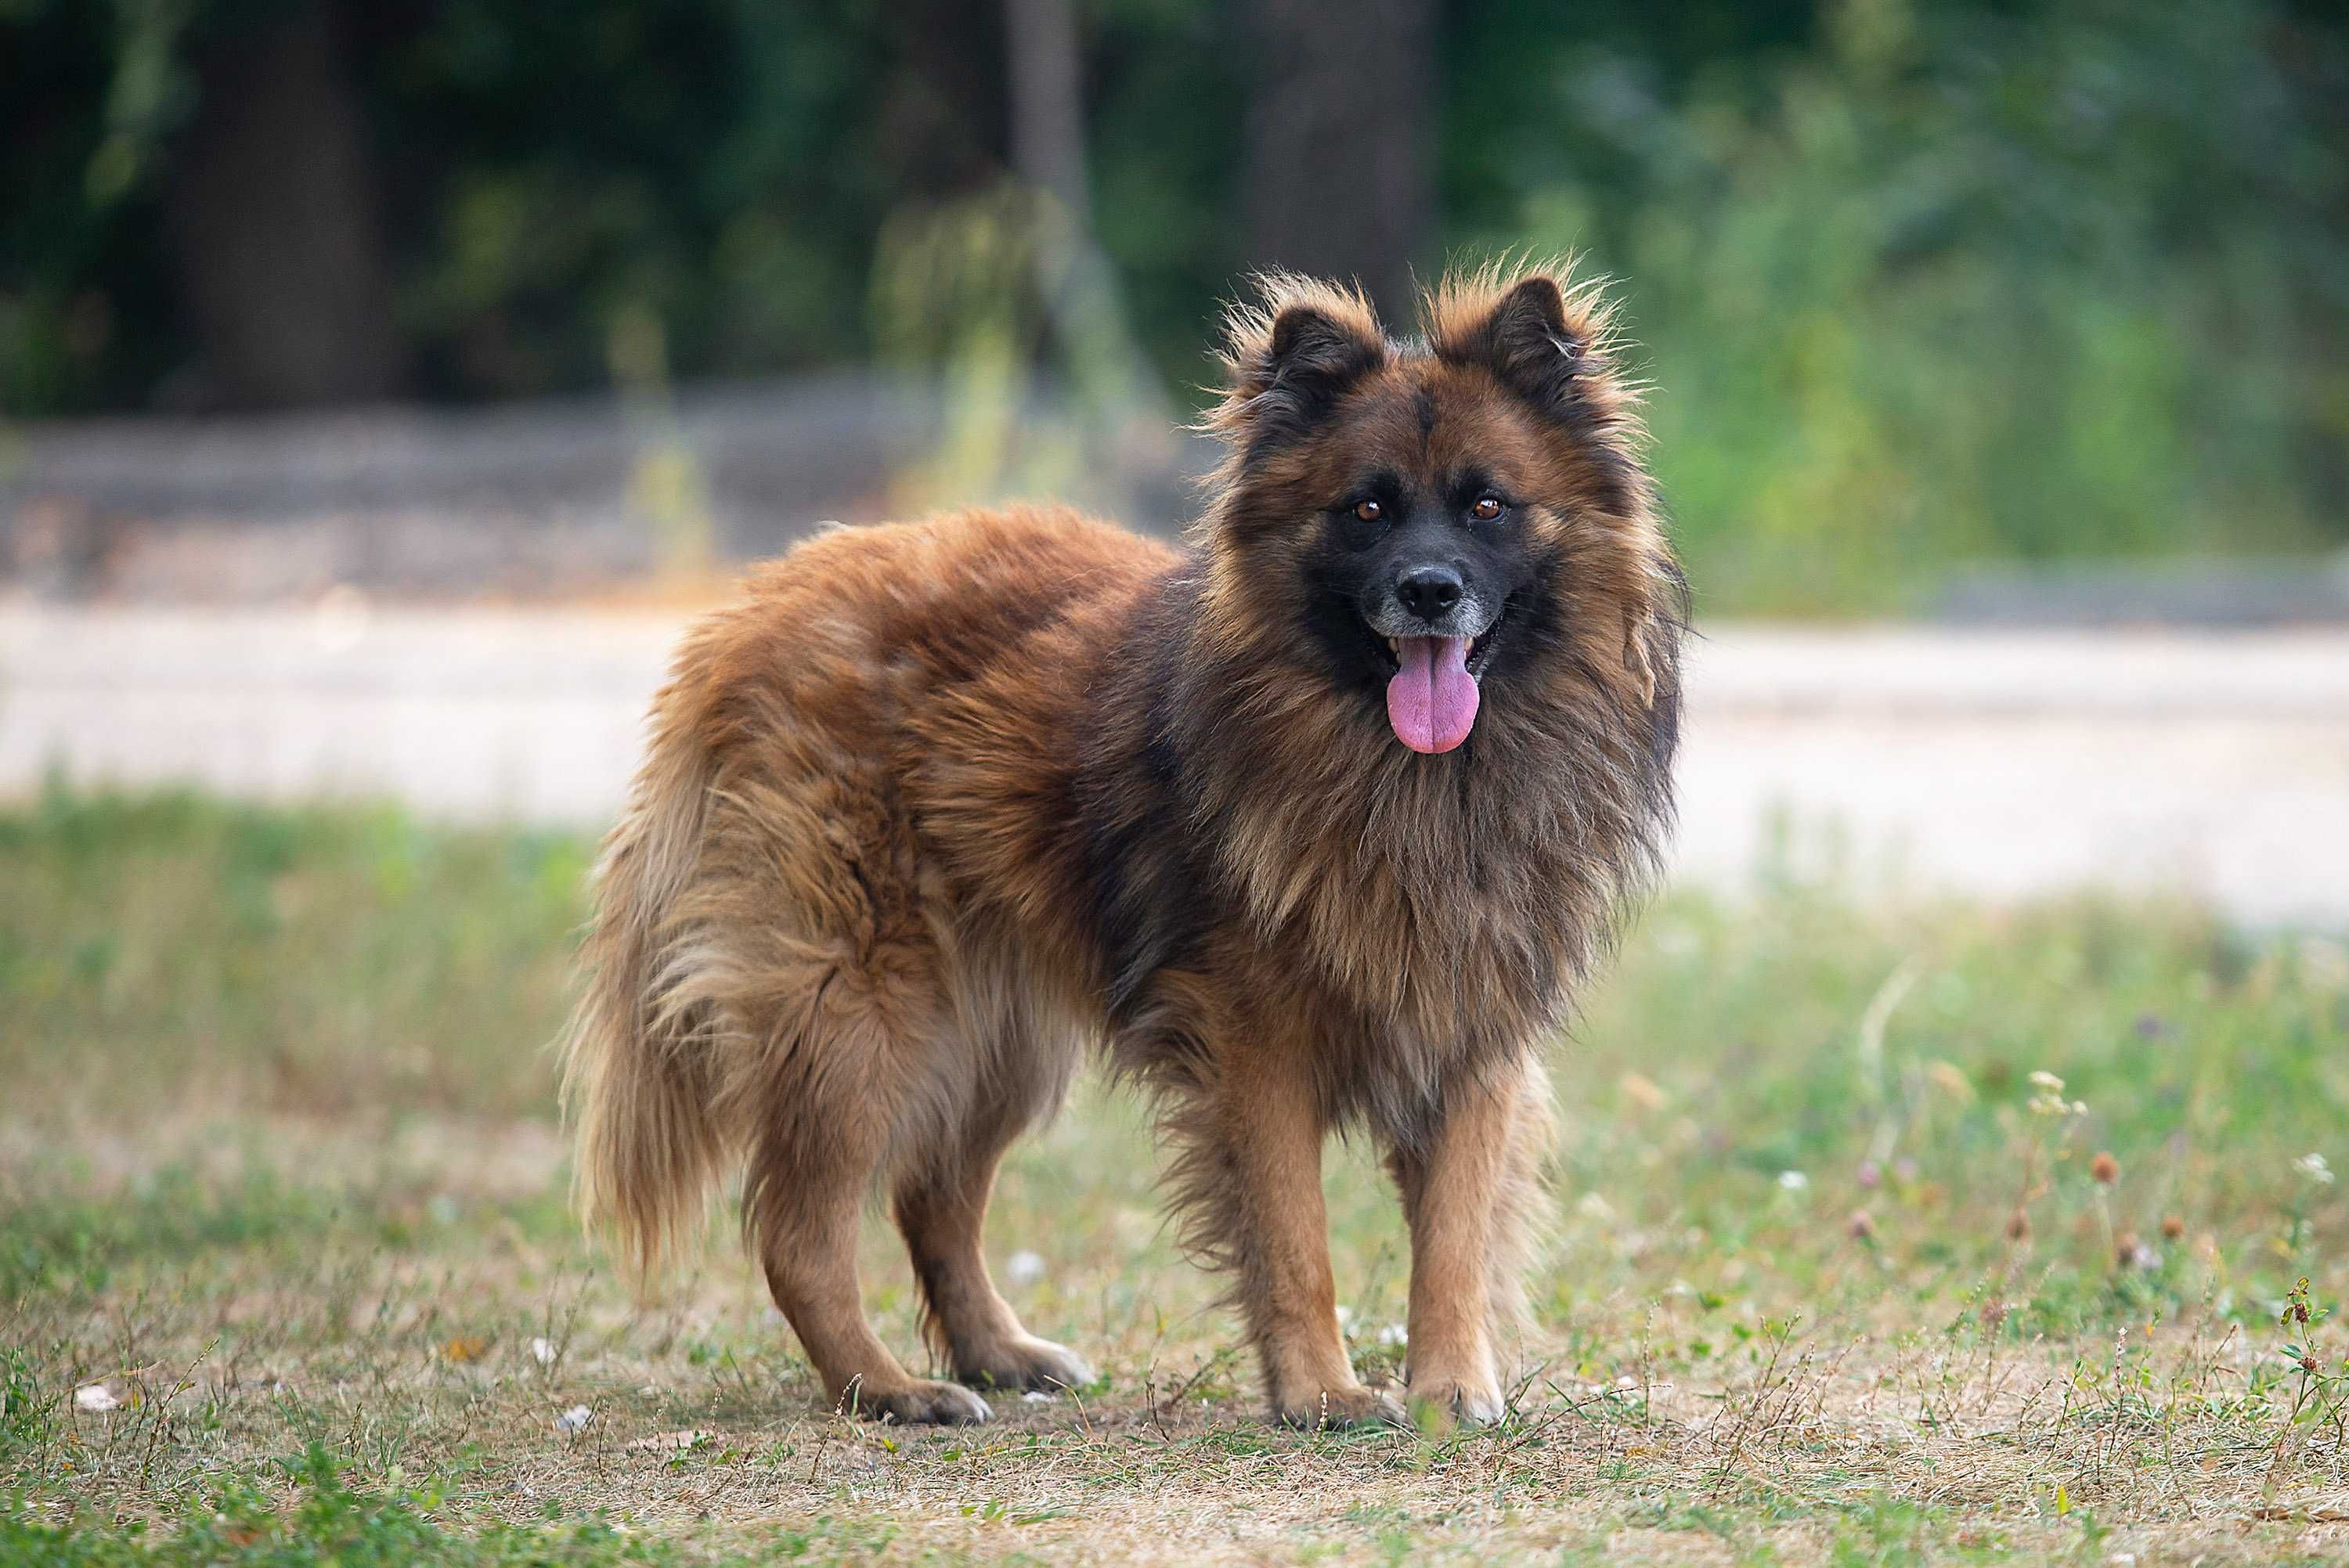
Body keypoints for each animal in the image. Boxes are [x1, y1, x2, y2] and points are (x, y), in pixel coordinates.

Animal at [559, 262, 1682, 1427]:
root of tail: (749, 609)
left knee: (933, 1195)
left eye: (1488, 505)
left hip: (992, 1037)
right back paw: (892, 1388)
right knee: (801, 1231)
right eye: (1366, 508)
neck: (1410, 777)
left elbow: (1455, 1232)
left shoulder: (1472, 1031)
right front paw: (1322, 1391)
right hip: (859, 1014)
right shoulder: (1256, 1045)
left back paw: (997, 1353)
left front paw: (1452, 1387)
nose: (1429, 591)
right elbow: (1295, 1235)